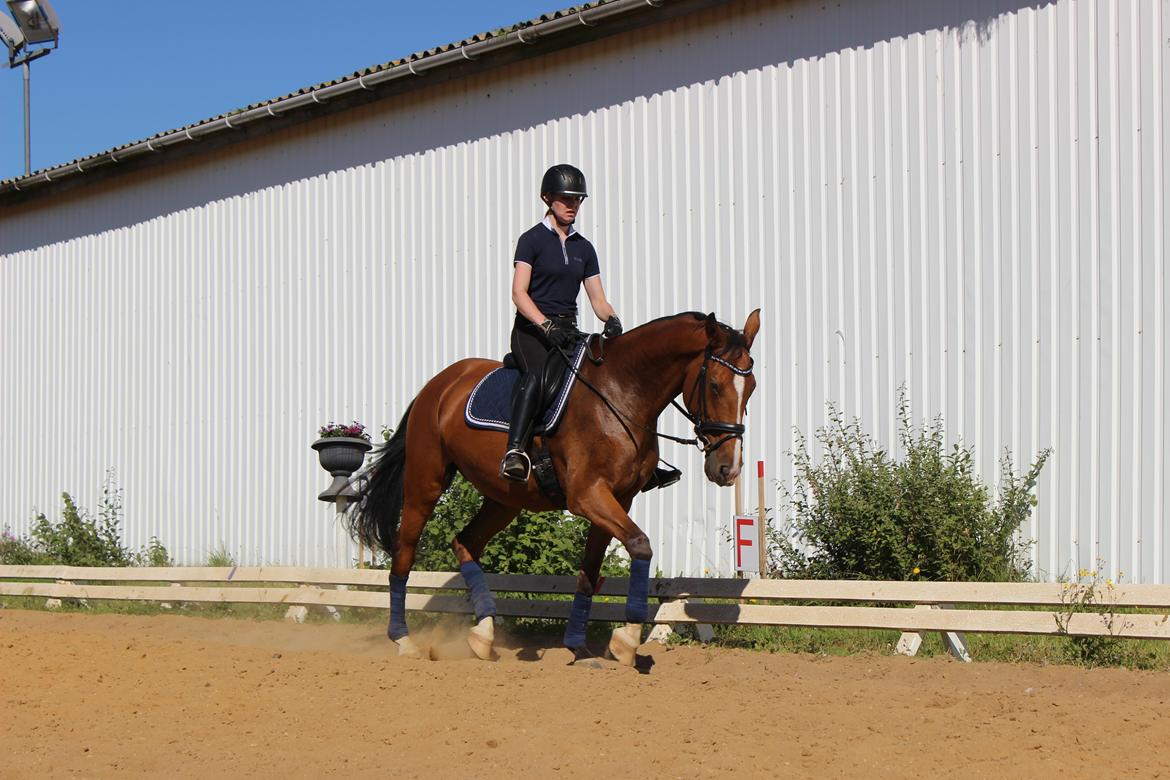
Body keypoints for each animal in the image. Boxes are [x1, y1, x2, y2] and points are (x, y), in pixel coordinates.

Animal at [351, 311, 762, 664]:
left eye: (752, 388)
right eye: (715, 385)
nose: (728, 468)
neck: (622, 393)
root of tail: (439, 384)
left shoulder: (619, 499)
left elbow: (591, 571)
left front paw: (579, 646)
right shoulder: (587, 496)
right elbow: (640, 544)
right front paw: (626, 640)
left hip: (504, 499)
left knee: (465, 543)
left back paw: (483, 635)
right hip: (426, 481)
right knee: (404, 551)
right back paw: (404, 639)